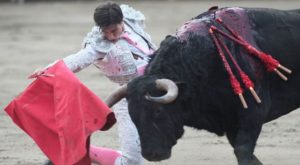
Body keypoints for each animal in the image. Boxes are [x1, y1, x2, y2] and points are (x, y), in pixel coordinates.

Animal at [105, 7, 300, 164]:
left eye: (158, 111)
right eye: (132, 114)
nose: (151, 154)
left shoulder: (254, 111)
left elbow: (242, 150)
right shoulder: (230, 120)